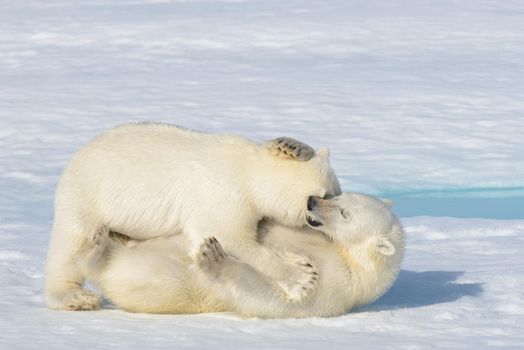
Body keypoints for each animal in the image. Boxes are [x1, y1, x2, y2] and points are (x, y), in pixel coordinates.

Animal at [45, 124, 340, 310]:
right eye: (324, 195)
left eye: (336, 193)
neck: (247, 173)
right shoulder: (224, 195)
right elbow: (230, 238)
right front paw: (302, 277)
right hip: (88, 196)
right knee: (70, 244)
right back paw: (75, 297)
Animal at [85, 193, 406, 318]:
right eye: (340, 198)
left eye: (344, 213)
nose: (313, 201)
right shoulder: (309, 236)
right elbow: (270, 229)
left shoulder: (337, 286)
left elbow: (271, 299)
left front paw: (213, 256)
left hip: (162, 285)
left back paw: (99, 247)